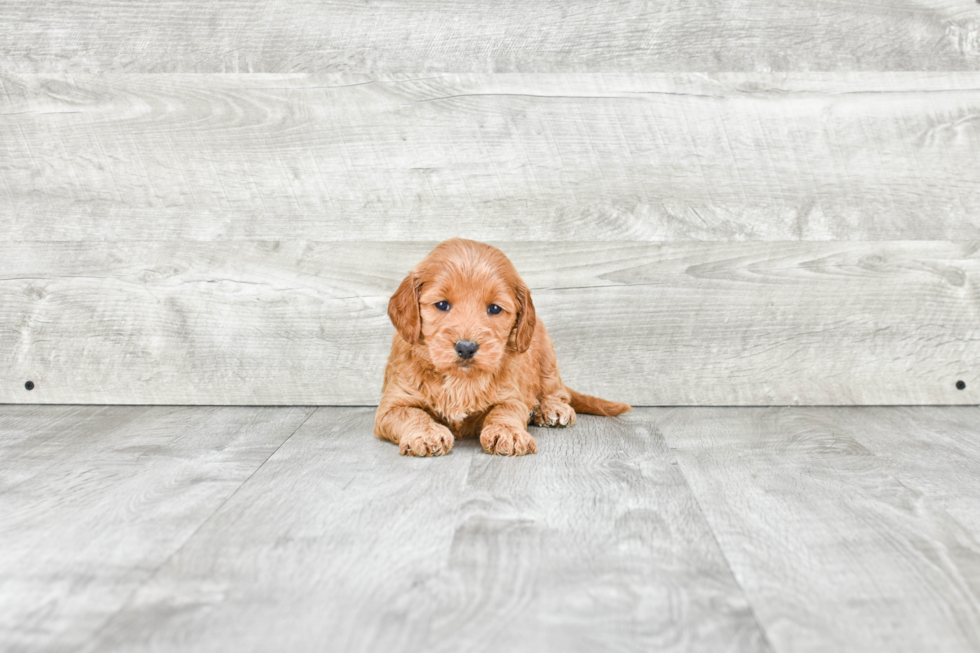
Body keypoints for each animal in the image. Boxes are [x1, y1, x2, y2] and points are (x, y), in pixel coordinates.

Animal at [372, 237, 632, 456]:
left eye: (495, 308)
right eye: (442, 304)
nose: (466, 347)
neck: (461, 380)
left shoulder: (512, 396)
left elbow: (504, 411)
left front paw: (508, 433)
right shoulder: (391, 404)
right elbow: (410, 413)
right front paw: (427, 433)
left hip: (546, 352)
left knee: (556, 390)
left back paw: (552, 409)